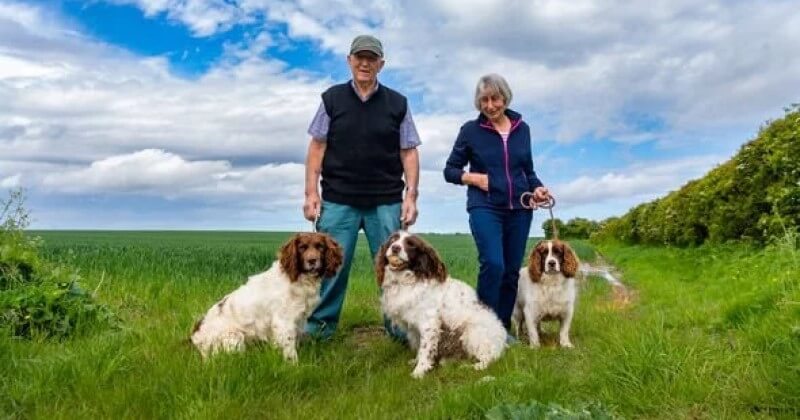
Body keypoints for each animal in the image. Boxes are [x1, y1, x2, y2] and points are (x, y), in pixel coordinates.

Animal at [195, 233, 346, 360]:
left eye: (320, 246)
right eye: (302, 248)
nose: (312, 260)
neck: (298, 279)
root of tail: (194, 338)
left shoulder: (299, 319)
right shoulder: (283, 321)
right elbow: (290, 349)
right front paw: (294, 365)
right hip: (234, 336)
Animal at [376, 231, 506, 378]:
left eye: (411, 244)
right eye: (393, 240)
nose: (395, 248)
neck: (406, 281)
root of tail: (503, 340)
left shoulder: (429, 324)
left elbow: (425, 350)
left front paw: (419, 372)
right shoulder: (414, 327)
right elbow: (419, 346)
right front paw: (416, 362)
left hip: (472, 332)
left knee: (488, 358)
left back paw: (473, 367)